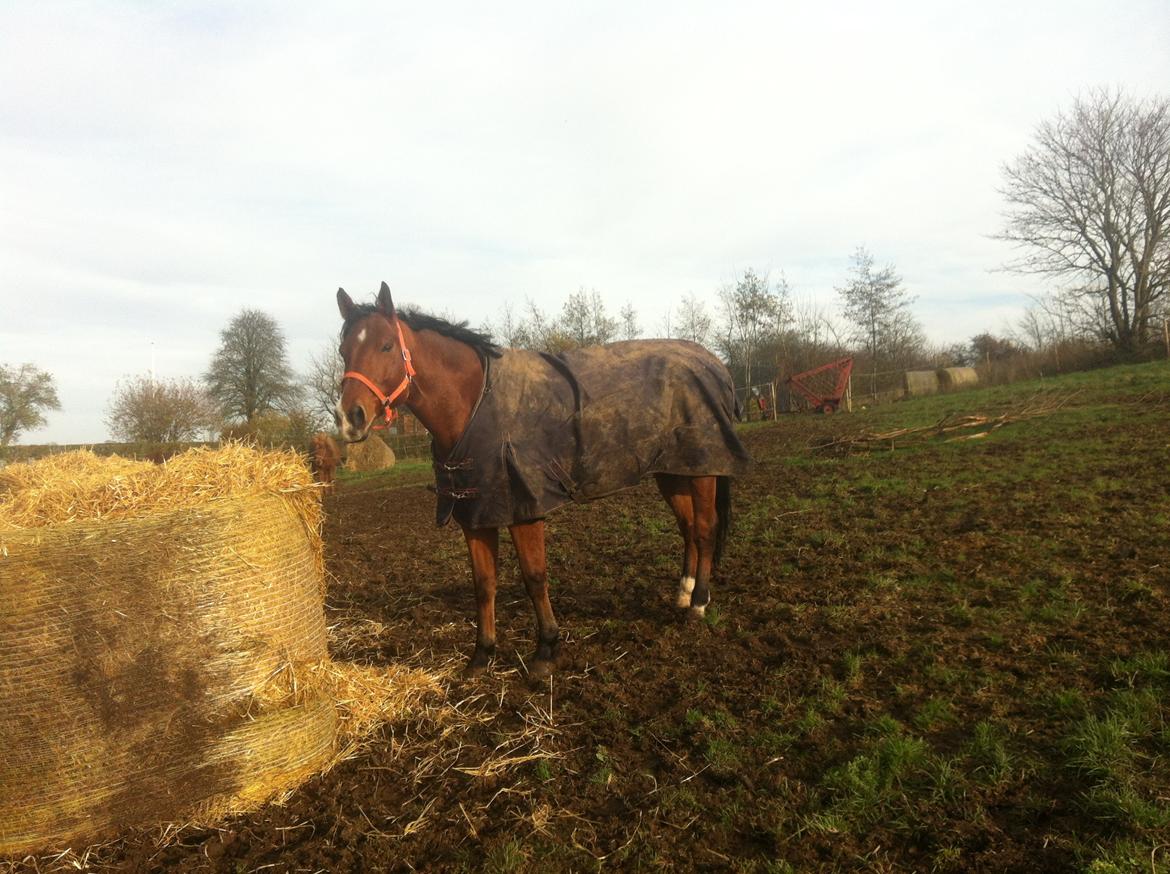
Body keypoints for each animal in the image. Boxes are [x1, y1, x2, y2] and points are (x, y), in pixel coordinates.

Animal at [334, 284, 748, 678]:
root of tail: (713, 363)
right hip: (674, 471)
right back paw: (684, 593)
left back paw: (698, 606)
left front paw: (546, 650)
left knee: (705, 530)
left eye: (386, 345)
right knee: (689, 528)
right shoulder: (476, 514)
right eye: (343, 351)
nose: (350, 418)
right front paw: (481, 656)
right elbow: (483, 584)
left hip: (704, 469)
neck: (475, 403)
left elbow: (534, 577)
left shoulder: (524, 507)